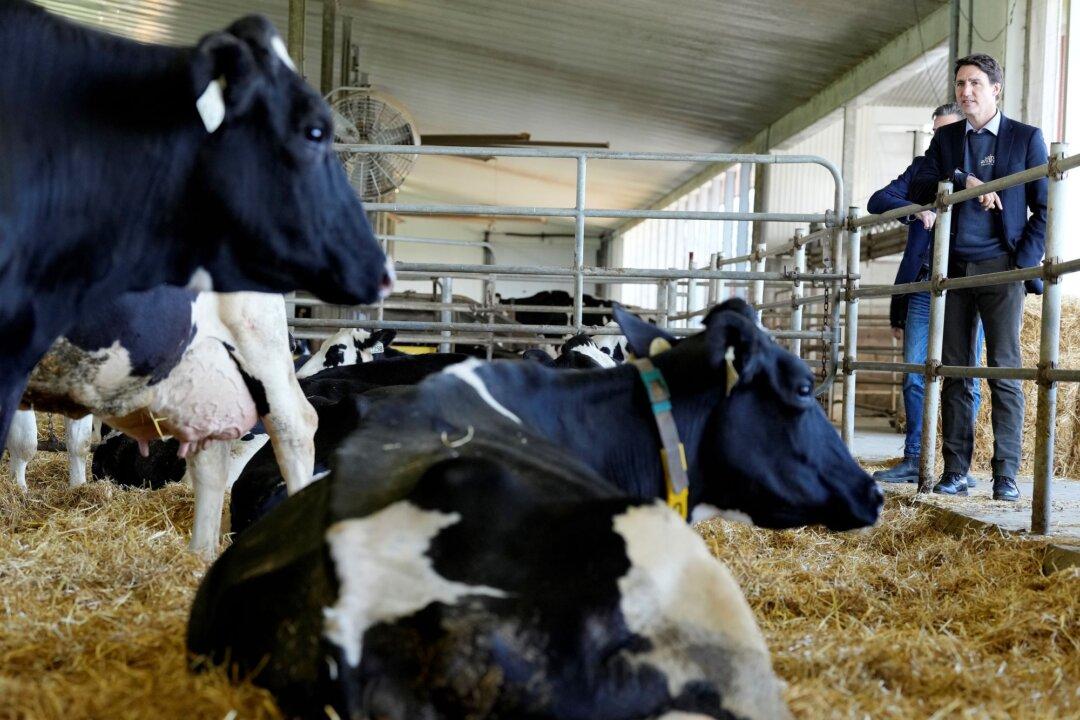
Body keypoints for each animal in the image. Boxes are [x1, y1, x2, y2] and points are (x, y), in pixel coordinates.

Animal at [14, 287, 315, 557]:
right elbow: (73, 441)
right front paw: (76, 489)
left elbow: (29, 442)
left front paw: (19, 492)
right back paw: (198, 555)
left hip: (258, 345)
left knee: (294, 430)